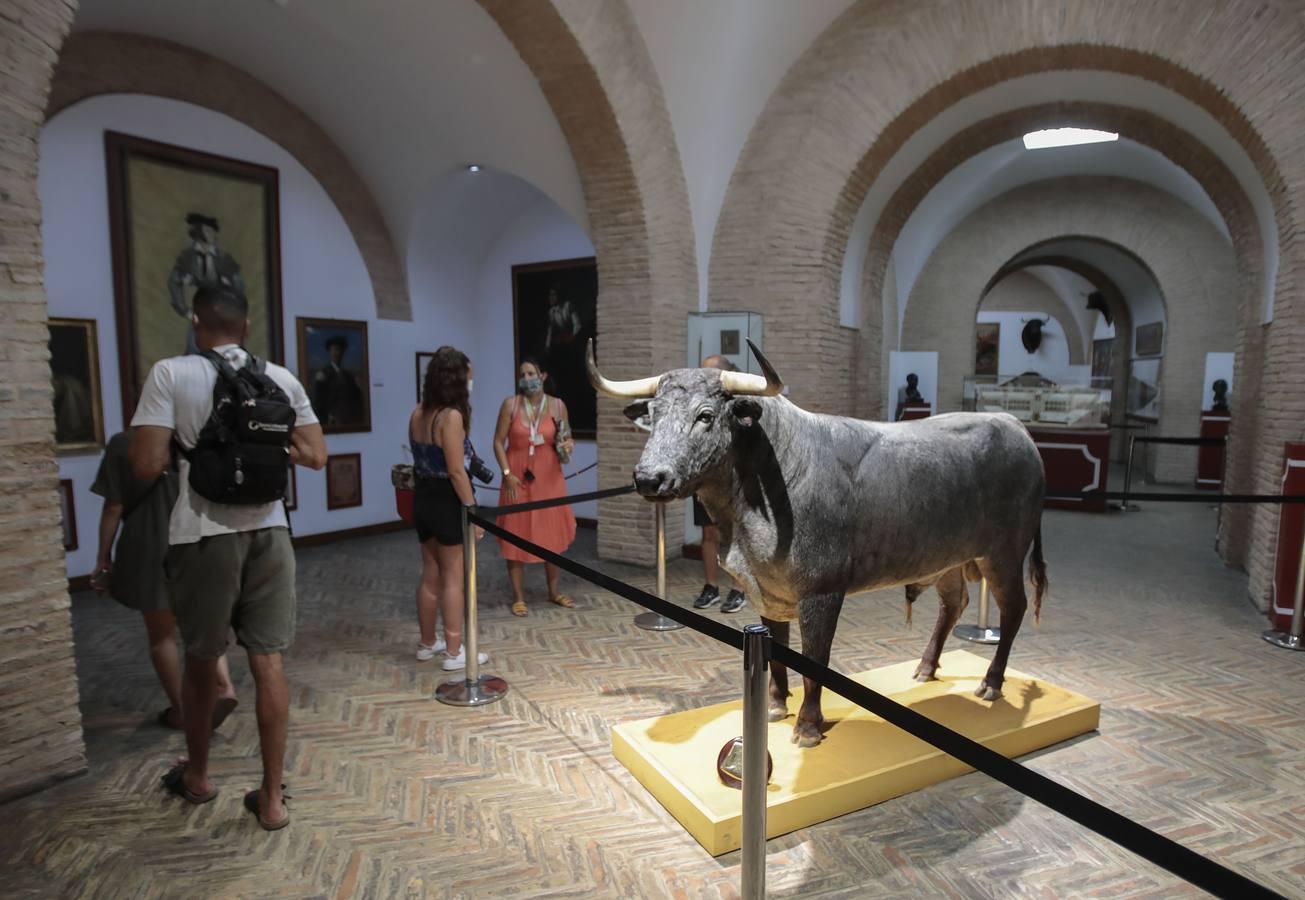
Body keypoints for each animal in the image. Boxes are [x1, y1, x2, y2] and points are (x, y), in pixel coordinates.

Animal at [592, 339, 1049, 746]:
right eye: (653, 414)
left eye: (705, 415)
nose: (649, 478)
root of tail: (1015, 427)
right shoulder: (769, 589)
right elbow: (777, 647)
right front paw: (775, 706)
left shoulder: (822, 592)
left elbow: (815, 657)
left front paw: (808, 727)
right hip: (947, 558)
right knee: (953, 604)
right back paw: (925, 668)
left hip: (1005, 554)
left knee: (1013, 609)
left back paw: (991, 682)